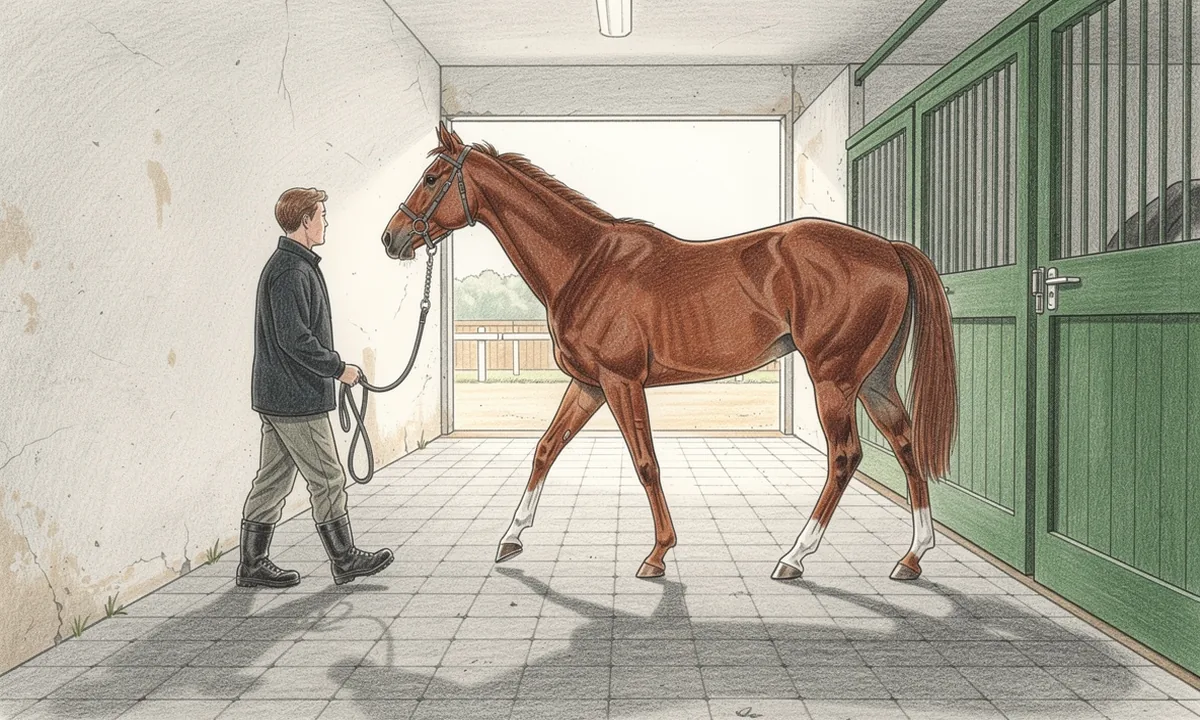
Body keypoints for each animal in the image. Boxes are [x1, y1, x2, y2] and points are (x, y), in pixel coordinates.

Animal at [381, 123, 958, 582]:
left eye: (432, 178)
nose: (391, 238)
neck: (585, 262)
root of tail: (889, 249)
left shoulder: (620, 382)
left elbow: (646, 463)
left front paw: (657, 554)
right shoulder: (587, 384)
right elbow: (545, 449)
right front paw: (512, 536)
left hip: (834, 380)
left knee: (845, 457)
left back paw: (794, 557)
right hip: (874, 380)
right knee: (905, 445)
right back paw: (912, 556)